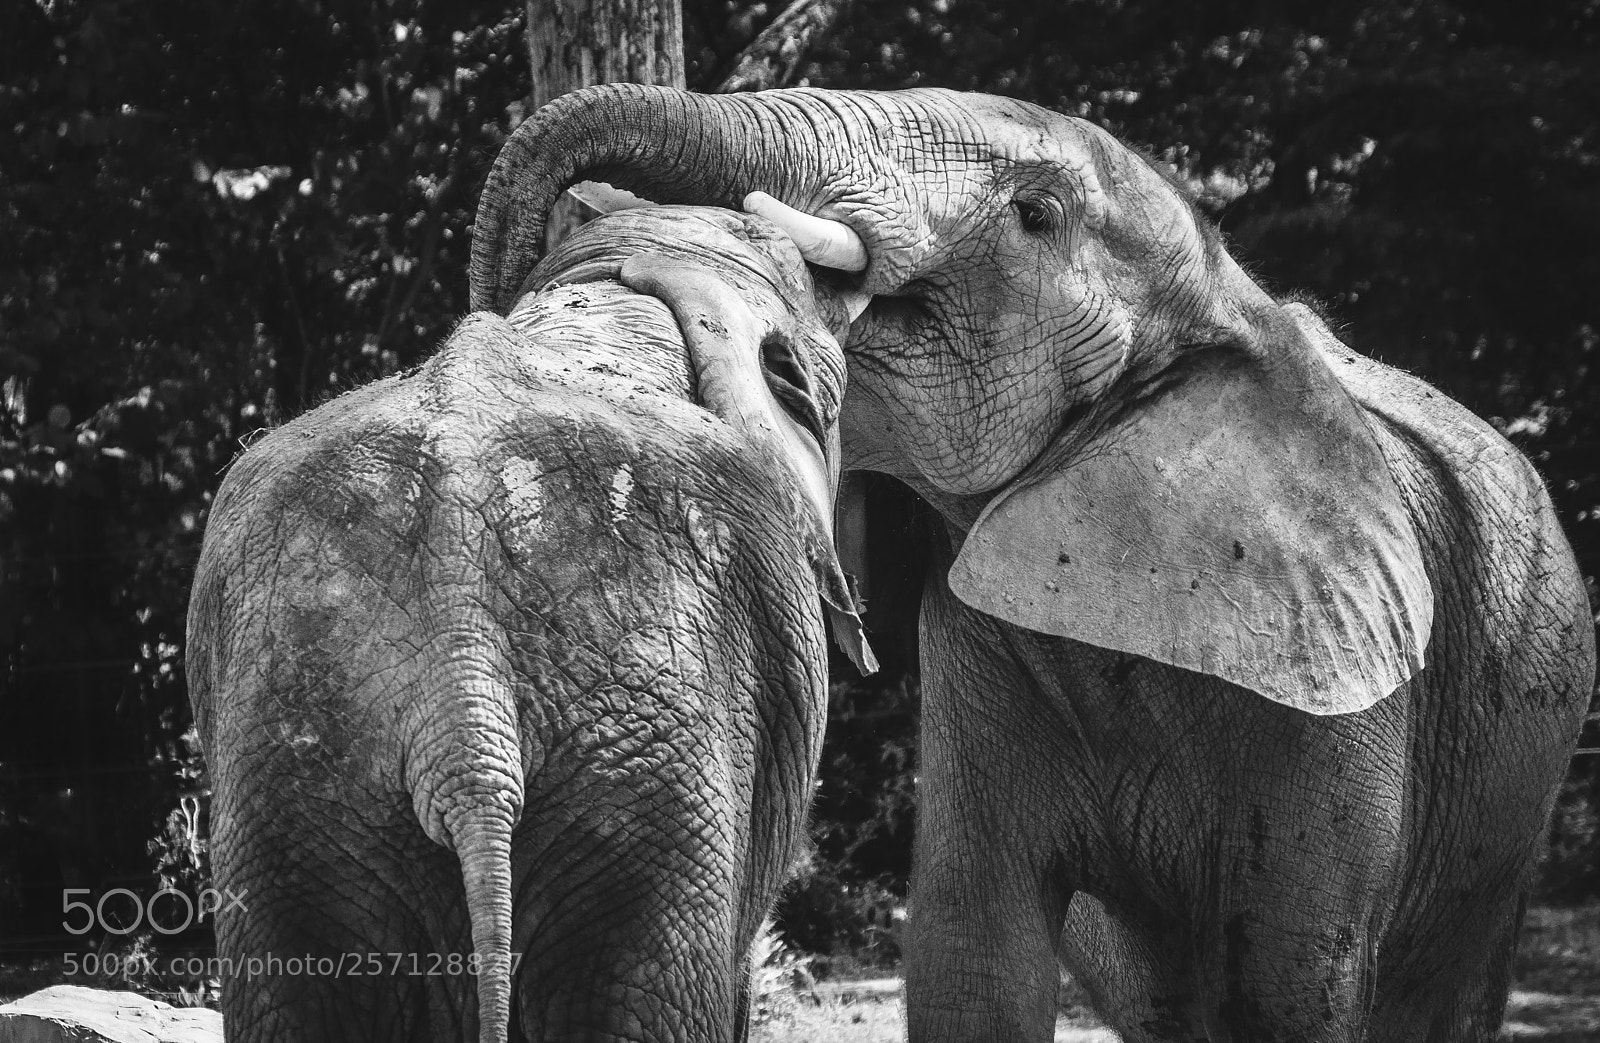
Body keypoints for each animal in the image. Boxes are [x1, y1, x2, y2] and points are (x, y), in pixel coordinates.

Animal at [468, 84, 1598, 1042]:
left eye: (1036, 214)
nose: (581, 251)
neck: (1229, 298)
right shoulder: (982, 652)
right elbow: (975, 956)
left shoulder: (1339, 692)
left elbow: (1291, 981)